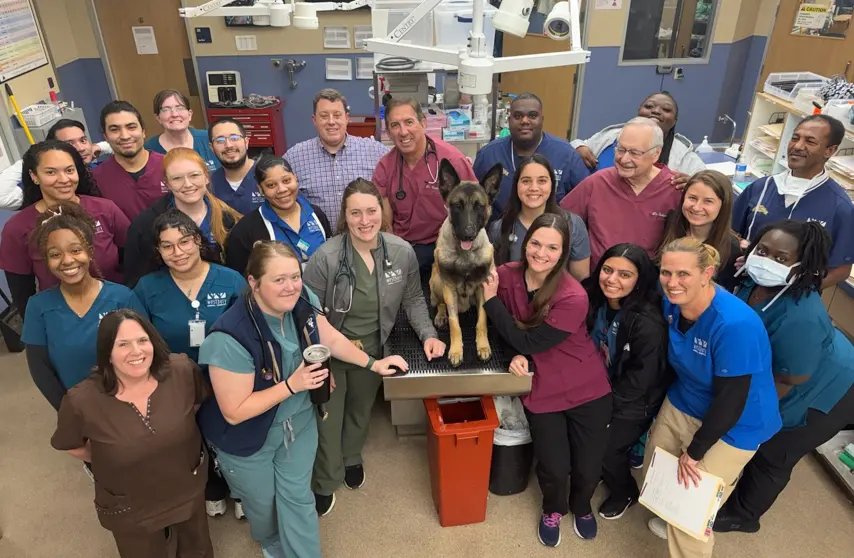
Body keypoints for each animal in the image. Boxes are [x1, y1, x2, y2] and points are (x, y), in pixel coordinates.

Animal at [432, 159, 504, 368]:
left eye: (479, 206)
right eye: (457, 205)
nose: (468, 234)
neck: (464, 255)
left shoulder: (483, 287)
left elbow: (481, 321)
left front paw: (483, 346)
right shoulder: (449, 287)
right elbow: (455, 324)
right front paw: (456, 350)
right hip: (437, 281)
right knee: (440, 304)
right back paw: (441, 315)